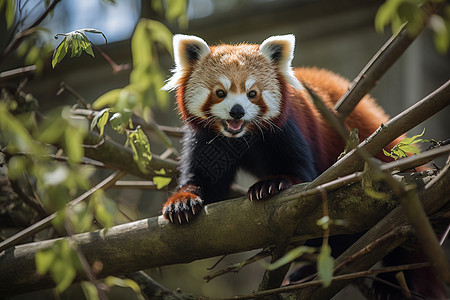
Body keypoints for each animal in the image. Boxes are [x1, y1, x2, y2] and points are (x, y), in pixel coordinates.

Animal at [161, 34, 400, 224]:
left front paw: (271, 184)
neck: (240, 137)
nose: (237, 111)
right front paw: (182, 202)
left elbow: (302, 176)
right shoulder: (205, 140)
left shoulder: (286, 130)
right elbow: (202, 179)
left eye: (252, 93)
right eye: (220, 92)